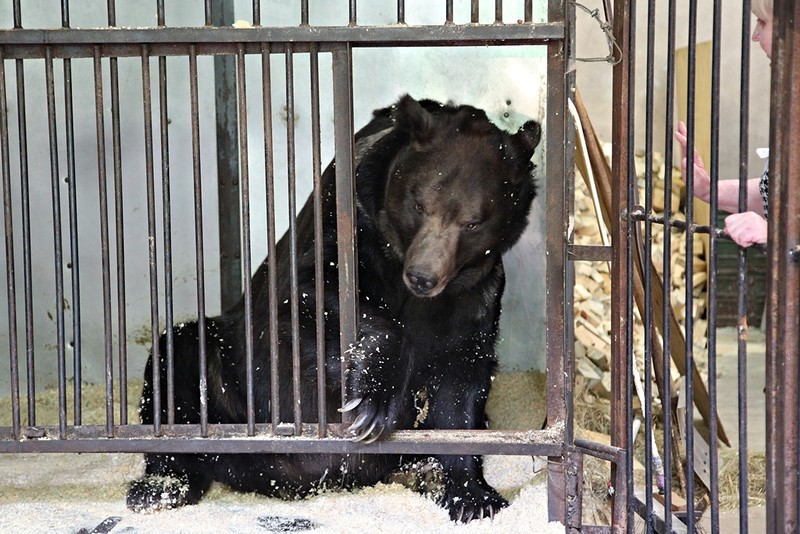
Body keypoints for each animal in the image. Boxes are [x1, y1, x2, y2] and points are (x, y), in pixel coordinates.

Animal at [126, 95, 544, 524]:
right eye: (419, 203)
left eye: (473, 222)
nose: (423, 276)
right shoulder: (346, 228)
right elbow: (311, 300)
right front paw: (371, 407)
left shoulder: (474, 293)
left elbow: (461, 382)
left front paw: (474, 495)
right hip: (233, 385)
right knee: (178, 362)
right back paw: (160, 488)